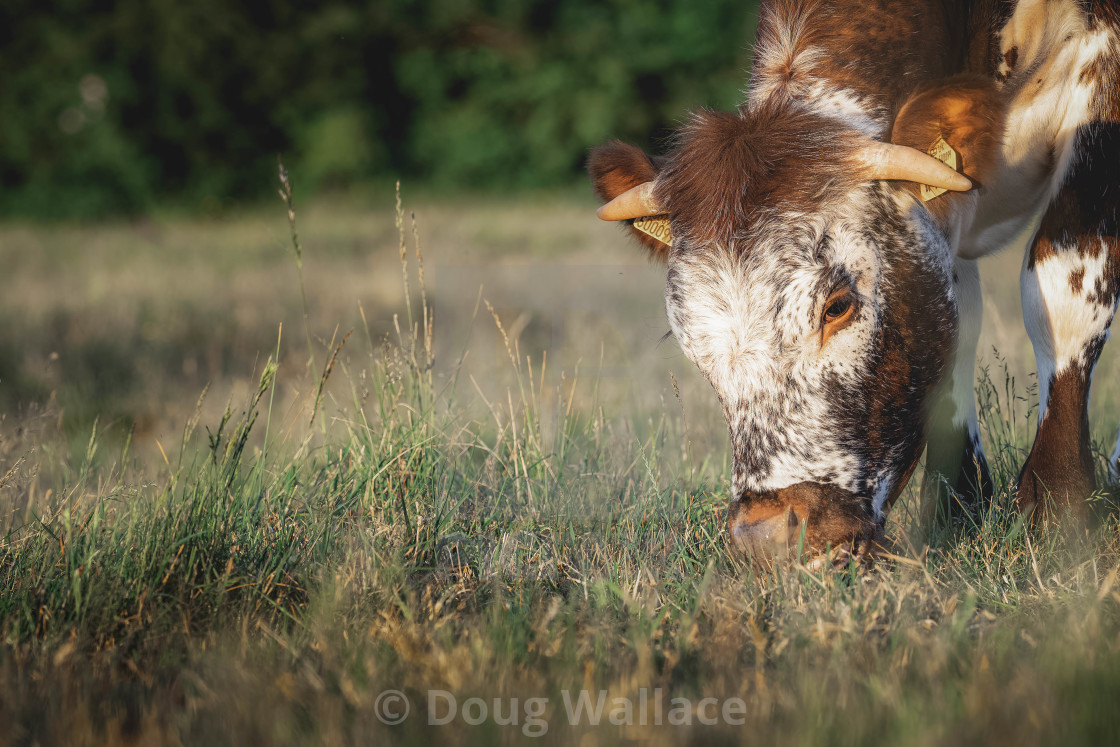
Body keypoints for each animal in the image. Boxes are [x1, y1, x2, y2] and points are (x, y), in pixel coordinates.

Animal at [591, 0, 1115, 564]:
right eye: (690, 342)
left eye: (836, 306)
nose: (767, 536)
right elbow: (961, 321)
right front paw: (954, 508)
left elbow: (1061, 284)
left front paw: (1060, 509)